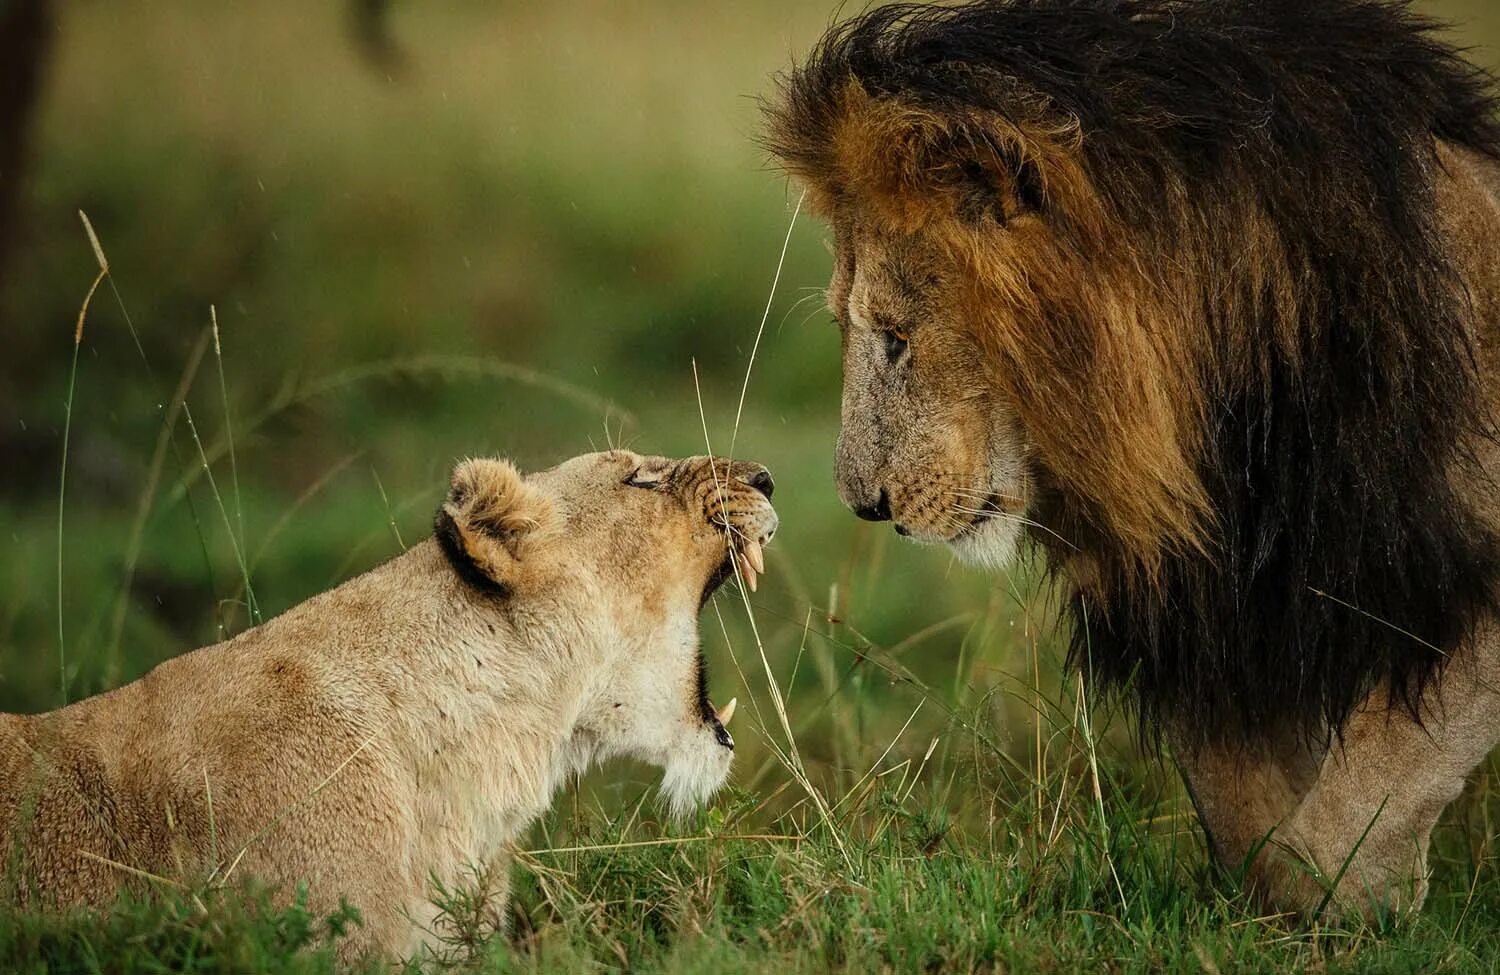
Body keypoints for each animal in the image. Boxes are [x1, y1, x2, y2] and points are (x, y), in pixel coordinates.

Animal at [768, 0, 1500, 912]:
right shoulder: (1219, 613)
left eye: (897, 339)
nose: (862, 503)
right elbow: (1247, 821)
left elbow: (1349, 812)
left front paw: (1357, 907)